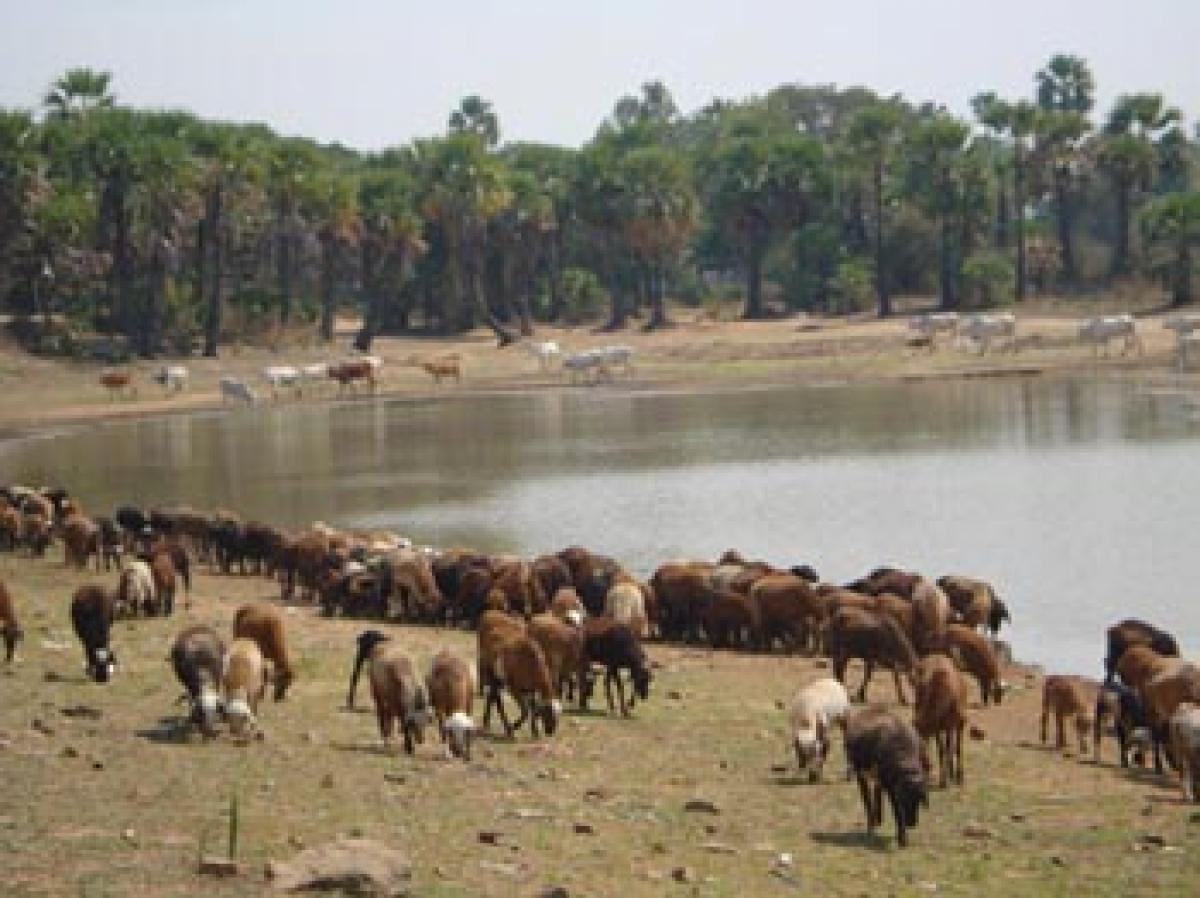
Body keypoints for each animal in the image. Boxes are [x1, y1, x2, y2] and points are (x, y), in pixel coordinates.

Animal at [840, 710, 931, 849]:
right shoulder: (892, 789)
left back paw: (879, 819)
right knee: (867, 799)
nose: (911, 823)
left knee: (877, 791)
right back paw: (871, 825)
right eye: (904, 800)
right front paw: (902, 839)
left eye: (918, 799)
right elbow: (897, 812)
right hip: (861, 774)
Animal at [912, 653, 969, 787]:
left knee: (957, 746)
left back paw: (957, 775)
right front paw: (944, 778)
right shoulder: (937, 726)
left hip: (958, 723)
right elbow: (942, 749)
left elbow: (951, 748)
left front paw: (948, 779)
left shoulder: (951, 724)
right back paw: (951, 773)